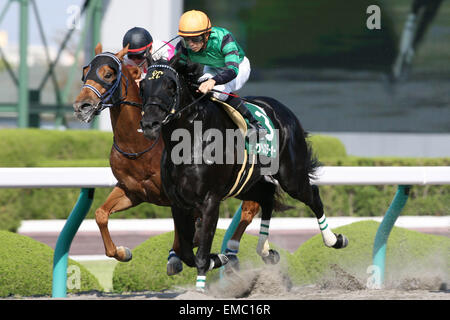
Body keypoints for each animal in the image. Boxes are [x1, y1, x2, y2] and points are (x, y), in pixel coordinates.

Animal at [72, 43, 262, 272]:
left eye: (108, 74)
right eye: (85, 72)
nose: (81, 106)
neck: (138, 143)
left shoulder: (184, 199)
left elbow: (185, 237)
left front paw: (181, 256)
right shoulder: (132, 191)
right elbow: (101, 214)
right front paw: (122, 252)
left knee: (249, 211)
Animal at [140, 57, 348, 290]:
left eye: (171, 86)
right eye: (143, 86)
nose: (149, 124)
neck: (192, 139)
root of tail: (283, 109)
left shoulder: (210, 200)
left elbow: (201, 254)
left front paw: (201, 287)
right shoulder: (178, 203)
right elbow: (186, 252)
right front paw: (218, 258)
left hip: (291, 176)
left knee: (313, 195)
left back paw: (334, 240)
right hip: (244, 184)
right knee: (267, 195)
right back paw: (266, 252)